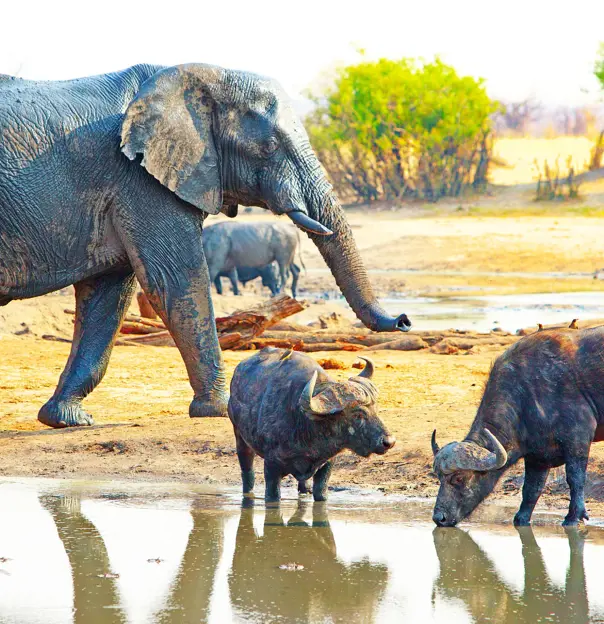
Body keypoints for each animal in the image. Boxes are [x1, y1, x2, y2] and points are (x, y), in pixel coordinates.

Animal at [0, 61, 410, 426]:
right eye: (269, 146)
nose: (404, 320)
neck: (190, 79)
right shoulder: (139, 180)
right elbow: (176, 279)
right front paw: (222, 408)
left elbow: (108, 293)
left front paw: (67, 419)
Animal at [228, 346, 396, 502]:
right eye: (358, 414)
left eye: (376, 409)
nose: (389, 442)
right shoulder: (271, 466)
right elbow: (272, 496)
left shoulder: (327, 464)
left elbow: (321, 493)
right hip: (240, 437)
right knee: (247, 471)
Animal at [432, 326, 604, 528]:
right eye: (438, 477)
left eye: (459, 478)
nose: (439, 518)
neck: (527, 395)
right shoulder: (538, 457)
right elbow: (531, 488)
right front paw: (521, 518)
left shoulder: (578, 439)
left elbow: (575, 478)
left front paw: (573, 516)